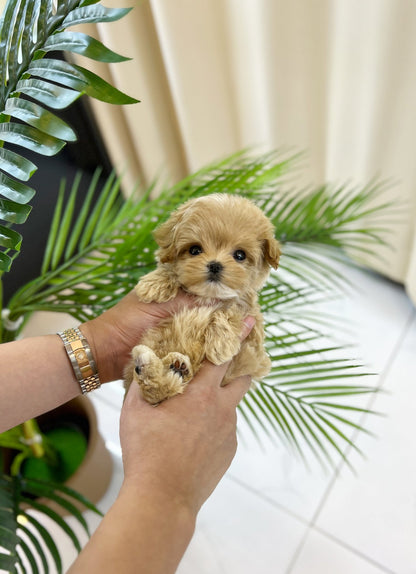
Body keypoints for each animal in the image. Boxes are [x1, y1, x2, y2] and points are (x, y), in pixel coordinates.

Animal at [122, 194, 280, 404]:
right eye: (195, 250)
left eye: (240, 255)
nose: (215, 265)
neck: (207, 295)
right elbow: (169, 270)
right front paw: (154, 284)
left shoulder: (252, 335)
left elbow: (231, 310)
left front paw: (222, 344)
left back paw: (173, 365)